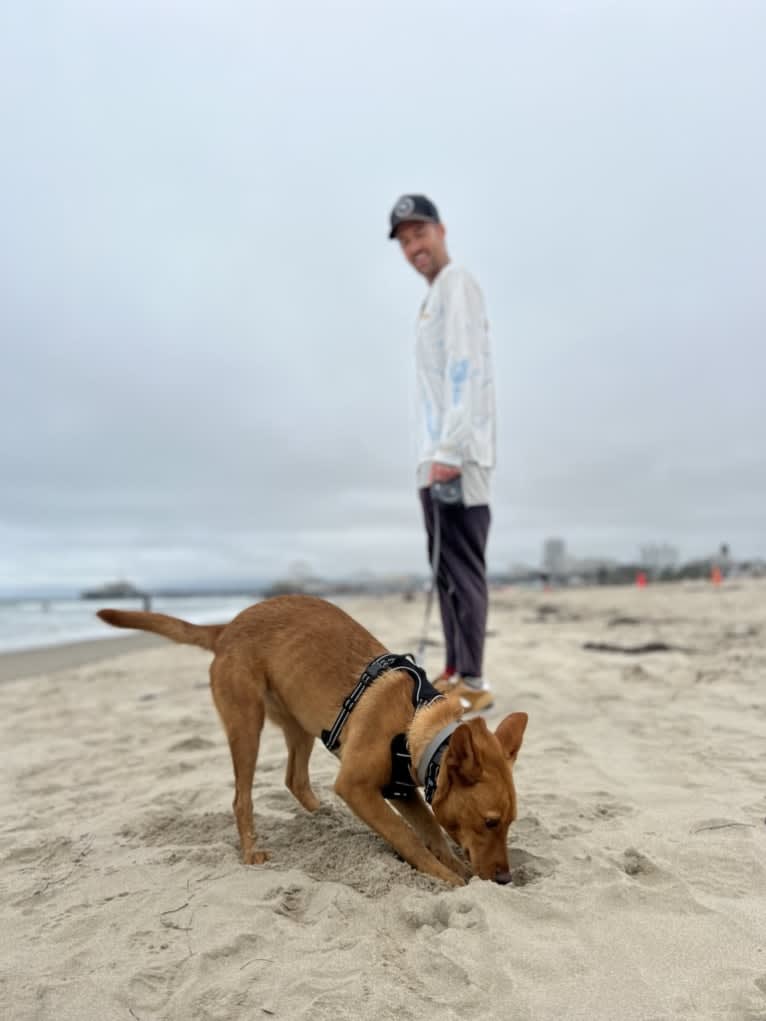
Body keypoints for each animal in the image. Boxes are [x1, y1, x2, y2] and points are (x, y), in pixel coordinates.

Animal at [97, 596, 527, 890]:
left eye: (509, 823)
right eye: (490, 821)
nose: (505, 879)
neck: (413, 722)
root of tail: (227, 626)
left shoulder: (402, 791)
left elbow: (433, 832)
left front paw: (455, 866)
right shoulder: (357, 786)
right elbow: (409, 838)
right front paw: (445, 877)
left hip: (299, 722)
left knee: (294, 778)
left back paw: (322, 815)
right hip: (246, 724)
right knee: (242, 798)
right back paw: (251, 851)